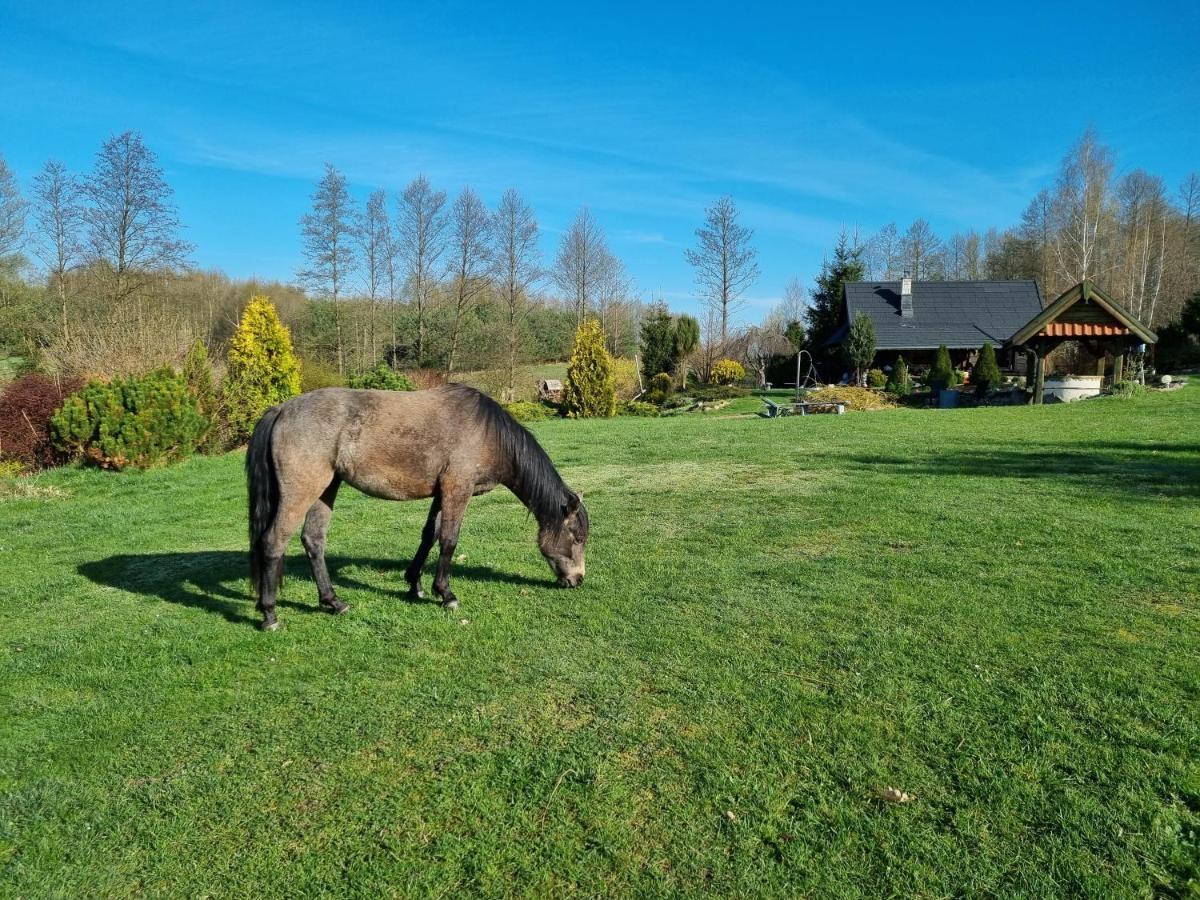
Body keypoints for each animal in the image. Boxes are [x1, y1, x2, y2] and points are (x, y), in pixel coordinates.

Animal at [247, 384, 590, 628]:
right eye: (576, 537)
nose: (578, 580)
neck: (489, 434)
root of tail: (282, 409)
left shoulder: (441, 493)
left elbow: (429, 536)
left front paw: (415, 584)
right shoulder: (457, 490)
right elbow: (449, 540)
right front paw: (446, 594)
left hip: (326, 488)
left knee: (314, 541)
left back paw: (334, 602)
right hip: (302, 491)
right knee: (274, 542)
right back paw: (270, 615)